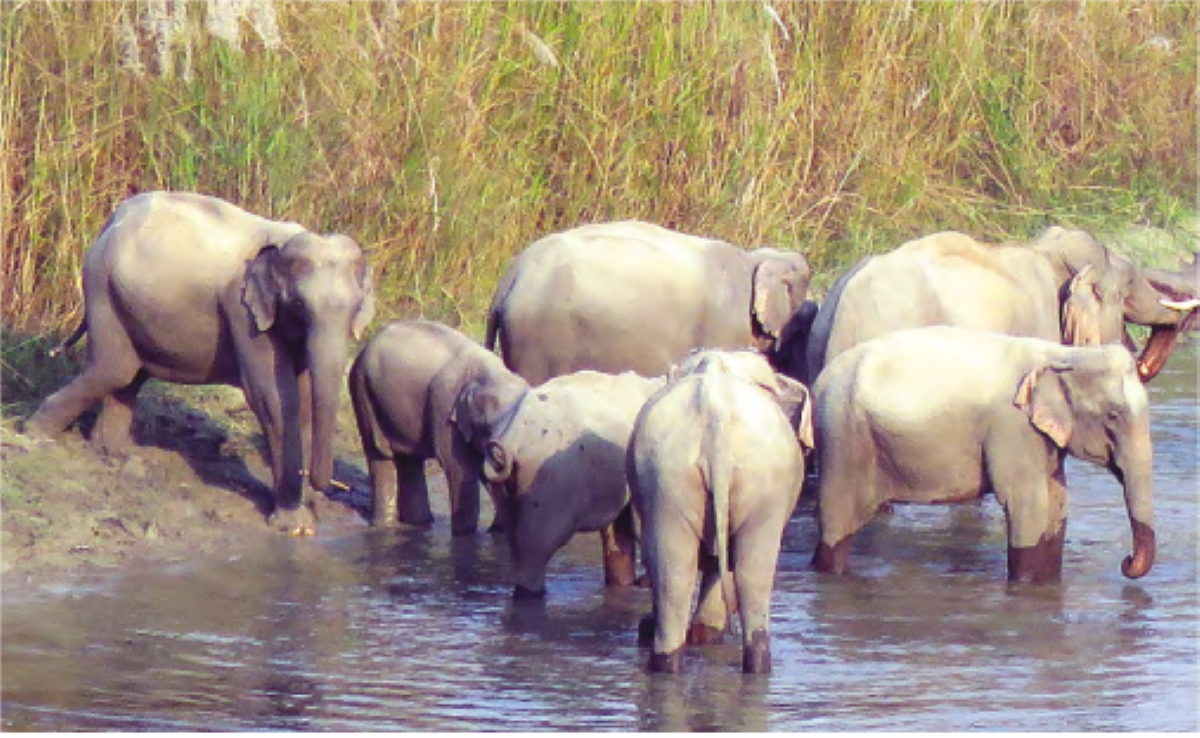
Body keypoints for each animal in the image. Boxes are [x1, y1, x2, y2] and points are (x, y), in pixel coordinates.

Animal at [24, 191, 375, 535]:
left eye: (356, 306)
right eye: (300, 305)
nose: (322, 488)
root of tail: (112, 219)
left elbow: (301, 400)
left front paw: (304, 517)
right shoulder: (242, 309)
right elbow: (273, 397)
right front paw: (295, 525)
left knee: (130, 374)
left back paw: (112, 452)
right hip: (101, 287)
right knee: (114, 369)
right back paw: (36, 434)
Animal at [348, 320, 530, 536]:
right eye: (487, 428)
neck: (492, 373)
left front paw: (499, 531)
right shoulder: (445, 408)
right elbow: (460, 467)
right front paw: (464, 535)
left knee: (410, 461)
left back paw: (419, 524)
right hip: (362, 389)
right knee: (379, 453)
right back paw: (384, 527)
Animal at [473, 369, 666, 599]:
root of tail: (510, 439)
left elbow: (619, 531)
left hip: (503, 485)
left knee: (515, 538)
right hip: (549, 482)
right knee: (536, 547)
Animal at [812, 326, 1156, 584]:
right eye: (1113, 416)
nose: (1126, 562)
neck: (1060, 354)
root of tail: (818, 381)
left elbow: (1057, 501)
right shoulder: (1013, 427)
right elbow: (1026, 503)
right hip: (842, 436)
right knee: (837, 522)